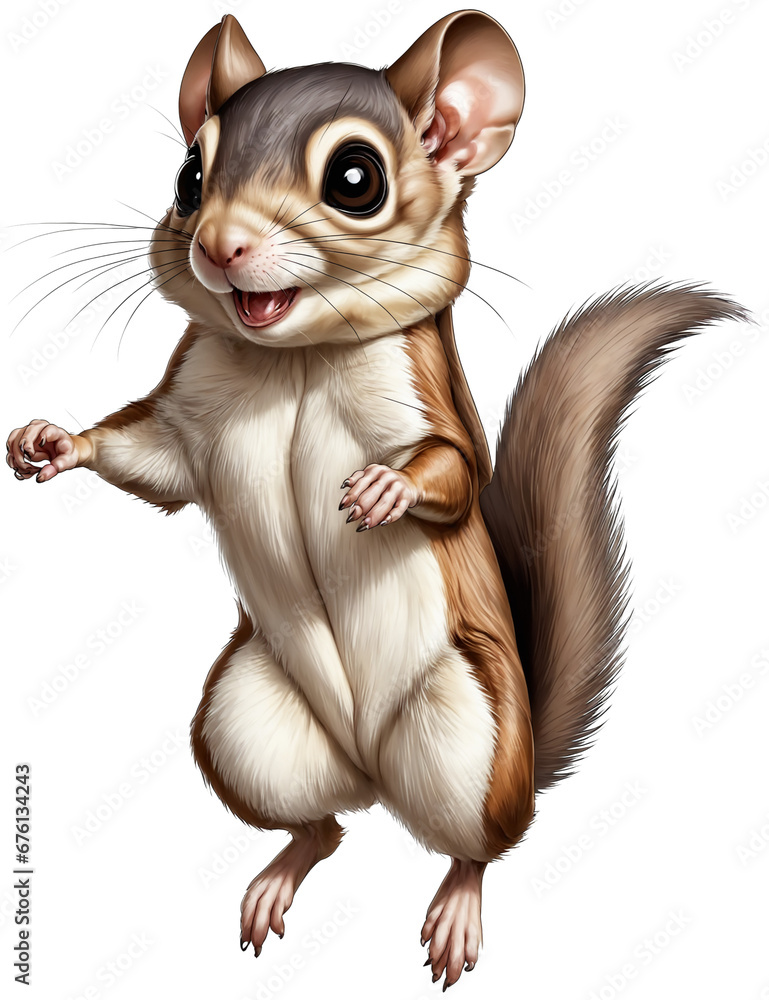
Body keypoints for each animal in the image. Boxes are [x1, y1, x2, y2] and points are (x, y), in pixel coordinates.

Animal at [5, 11, 746, 989]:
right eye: (189, 175)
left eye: (354, 179)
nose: (217, 246)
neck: (296, 358)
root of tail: (369, 774)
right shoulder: (187, 420)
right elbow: (150, 459)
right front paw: (53, 442)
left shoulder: (425, 400)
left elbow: (454, 473)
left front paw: (384, 488)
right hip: (238, 728)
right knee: (324, 829)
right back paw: (280, 872)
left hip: (469, 740)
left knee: (481, 844)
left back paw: (457, 907)